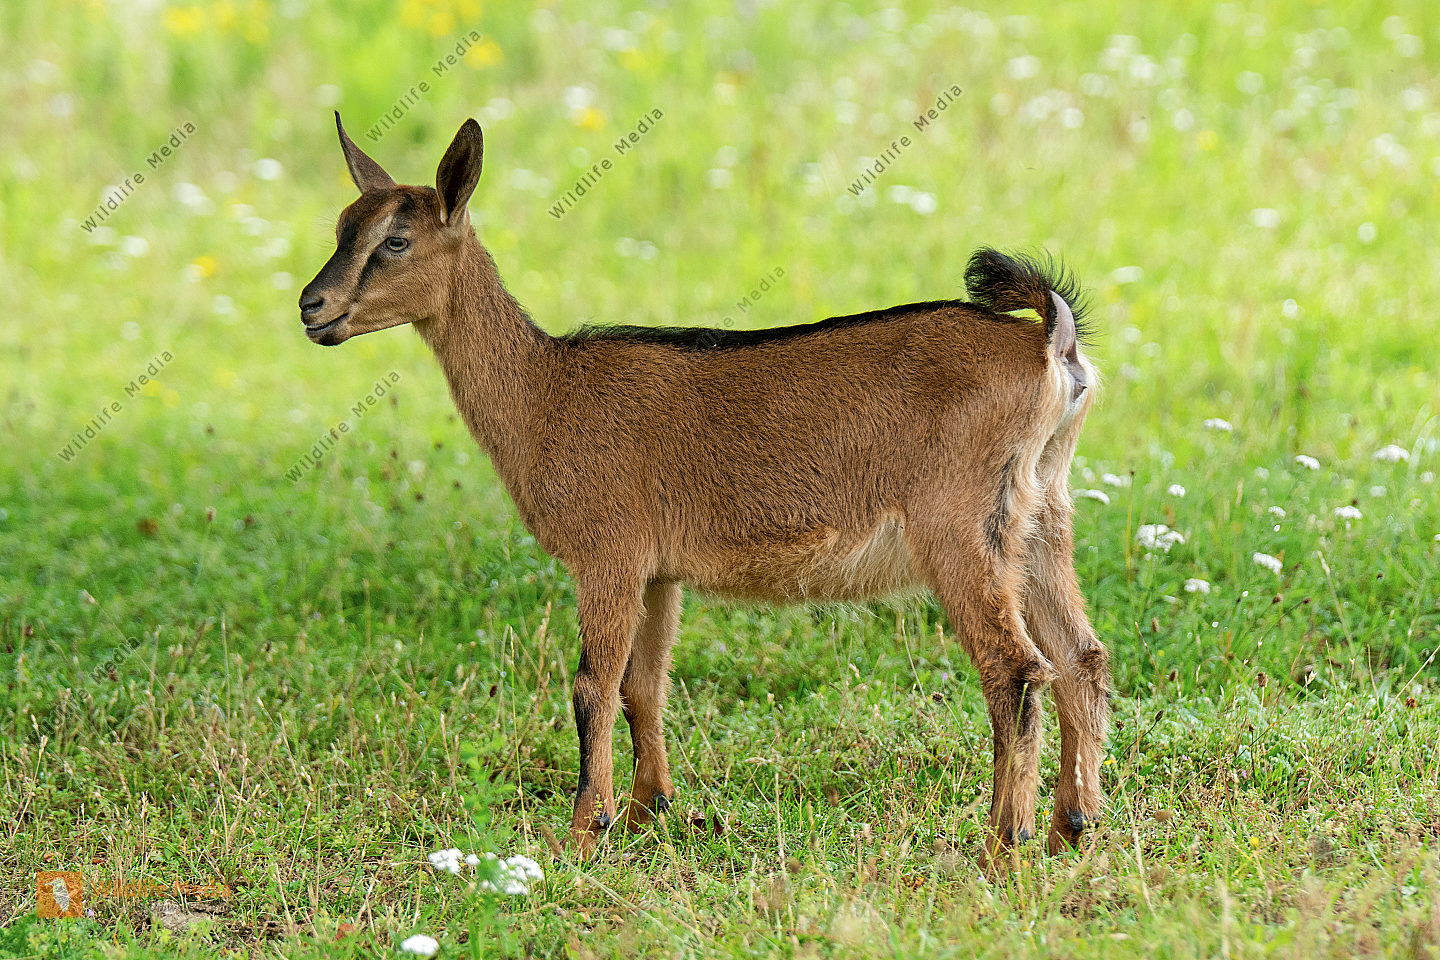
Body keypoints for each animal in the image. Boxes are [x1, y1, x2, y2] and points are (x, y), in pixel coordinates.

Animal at [298, 114, 1109, 866]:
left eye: (396, 241)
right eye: (342, 226)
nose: (313, 307)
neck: (546, 393)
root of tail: (1052, 345)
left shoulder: (609, 555)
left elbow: (593, 687)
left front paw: (583, 835)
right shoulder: (660, 572)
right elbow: (643, 686)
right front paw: (648, 811)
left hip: (960, 531)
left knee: (1017, 672)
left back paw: (1002, 844)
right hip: (1041, 518)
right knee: (1082, 659)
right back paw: (1074, 829)